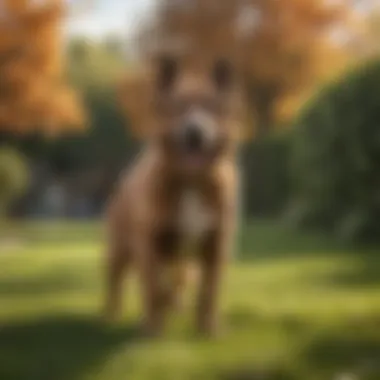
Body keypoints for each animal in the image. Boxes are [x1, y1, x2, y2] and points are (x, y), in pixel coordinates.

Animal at [102, 55, 242, 336]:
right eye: (178, 107)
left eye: (211, 106)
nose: (194, 131)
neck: (191, 180)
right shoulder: (149, 242)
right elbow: (154, 286)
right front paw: (153, 328)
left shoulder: (217, 243)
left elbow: (209, 291)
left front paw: (209, 328)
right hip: (120, 249)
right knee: (117, 282)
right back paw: (112, 316)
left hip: (180, 256)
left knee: (179, 279)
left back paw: (176, 305)